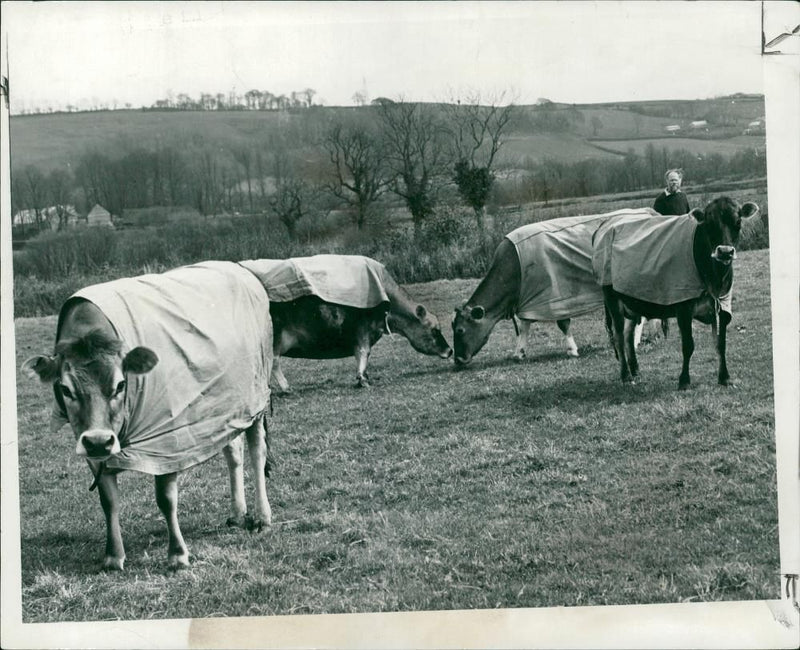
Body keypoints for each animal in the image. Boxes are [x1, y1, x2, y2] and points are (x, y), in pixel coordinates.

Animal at [22, 260, 276, 568]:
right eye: (65, 389)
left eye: (121, 384)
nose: (98, 441)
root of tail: (239, 268)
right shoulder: (91, 452)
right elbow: (108, 501)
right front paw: (113, 556)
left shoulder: (166, 441)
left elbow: (165, 499)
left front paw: (177, 554)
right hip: (227, 408)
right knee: (233, 453)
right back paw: (238, 513)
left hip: (256, 400)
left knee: (257, 452)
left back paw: (263, 517)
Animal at [238, 256, 454, 392]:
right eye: (435, 330)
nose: (450, 350)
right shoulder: (363, 330)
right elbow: (363, 353)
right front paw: (362, 379)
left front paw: (364, 377)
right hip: (274, 339)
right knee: (274, 362)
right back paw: (285, 388)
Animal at [454, 210, 660, 368]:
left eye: (460, 330)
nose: (458, 360)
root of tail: (649, 212)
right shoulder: (528, 299)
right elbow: (524, 325)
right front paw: (519, 352)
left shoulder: (557, 296)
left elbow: (563, 324)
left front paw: (572, 349)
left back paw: (636, 340)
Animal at [592, 195, 764, 388]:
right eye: (709, 223)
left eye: (738, 221)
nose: (725, 252)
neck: (714, 277)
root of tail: (606, 223)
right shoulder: (683, 308)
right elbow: (688, 345)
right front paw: (684, 380)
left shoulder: (723, 306)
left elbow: (721, 344)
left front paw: (725, 377)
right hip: (612, 299)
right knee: (619, 336)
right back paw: (626, 375)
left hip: (632, 300)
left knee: (629, 335)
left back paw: (635, 369)